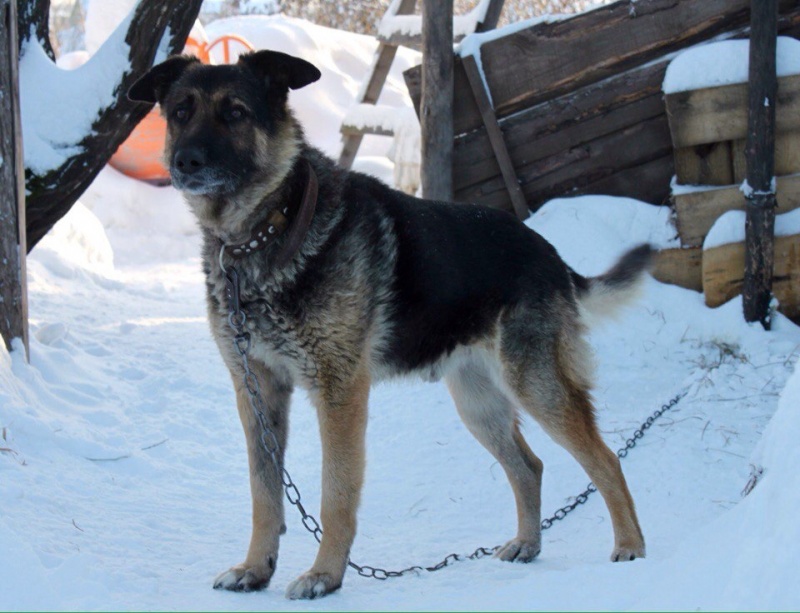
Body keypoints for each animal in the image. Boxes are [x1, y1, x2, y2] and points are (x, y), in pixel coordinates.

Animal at [130, 50, 648, 600]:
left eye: (234, 113)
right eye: (180, 112)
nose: (185, 161)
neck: (271, 227)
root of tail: (548, 252)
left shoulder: (339, 393)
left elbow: (335, 493)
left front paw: (325, 575)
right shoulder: (257, 392)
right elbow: (263, 492)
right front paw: (255, 568)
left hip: (536, 385)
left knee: (606, 459)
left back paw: (630, 546)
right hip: (478, 403)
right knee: (529, 467)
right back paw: (528, 545)